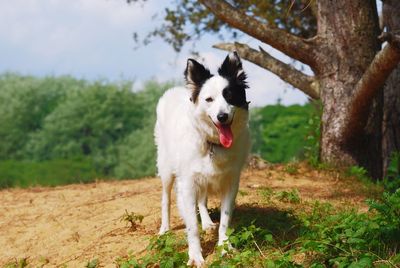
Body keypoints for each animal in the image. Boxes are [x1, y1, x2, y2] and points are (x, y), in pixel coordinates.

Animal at [154, 51, 250, 266]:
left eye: (229, 95)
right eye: (209, 99)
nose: (222, 116)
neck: (212, 143)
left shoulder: (231, 182)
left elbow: (225, 220)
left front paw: (224, 247)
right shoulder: (187, 184)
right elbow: (192, 227)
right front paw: (195, 255)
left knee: (202, 200)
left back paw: (206, 222)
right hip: (166, 170)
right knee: (165, 198)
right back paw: (165, 228)